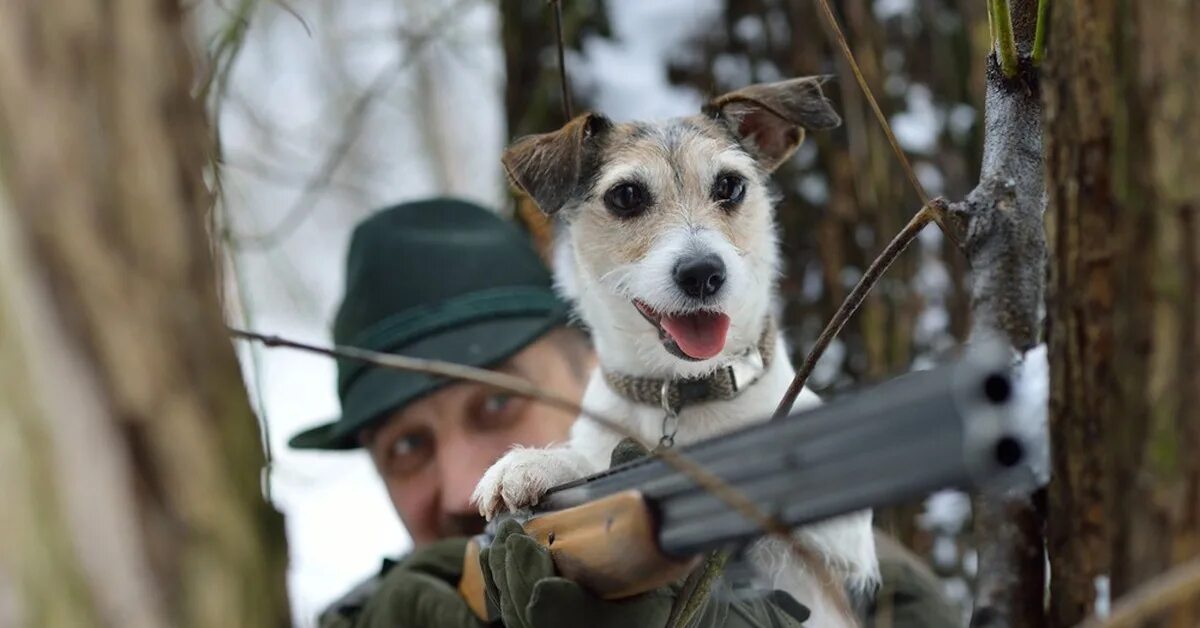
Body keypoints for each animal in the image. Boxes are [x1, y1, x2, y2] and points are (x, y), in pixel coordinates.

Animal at [472, 76, 878, 624]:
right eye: (626, 195)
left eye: (729, 185)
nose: (703, 273)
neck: (680, 391)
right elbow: (592, 465)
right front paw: (534, 465)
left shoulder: (848, 549)